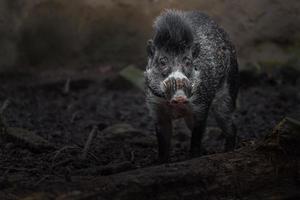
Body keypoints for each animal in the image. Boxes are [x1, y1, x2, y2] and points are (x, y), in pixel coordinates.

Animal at [145, 9, 239, 162]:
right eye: (162, 61)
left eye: (188, 61)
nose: (180, 97)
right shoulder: (156, 108)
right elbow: (163, 141)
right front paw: (161, 162)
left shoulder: (201, 106)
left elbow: (197, 135)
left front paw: (193, 157)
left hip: (228, 93)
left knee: (231, 125)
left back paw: (227, 151)